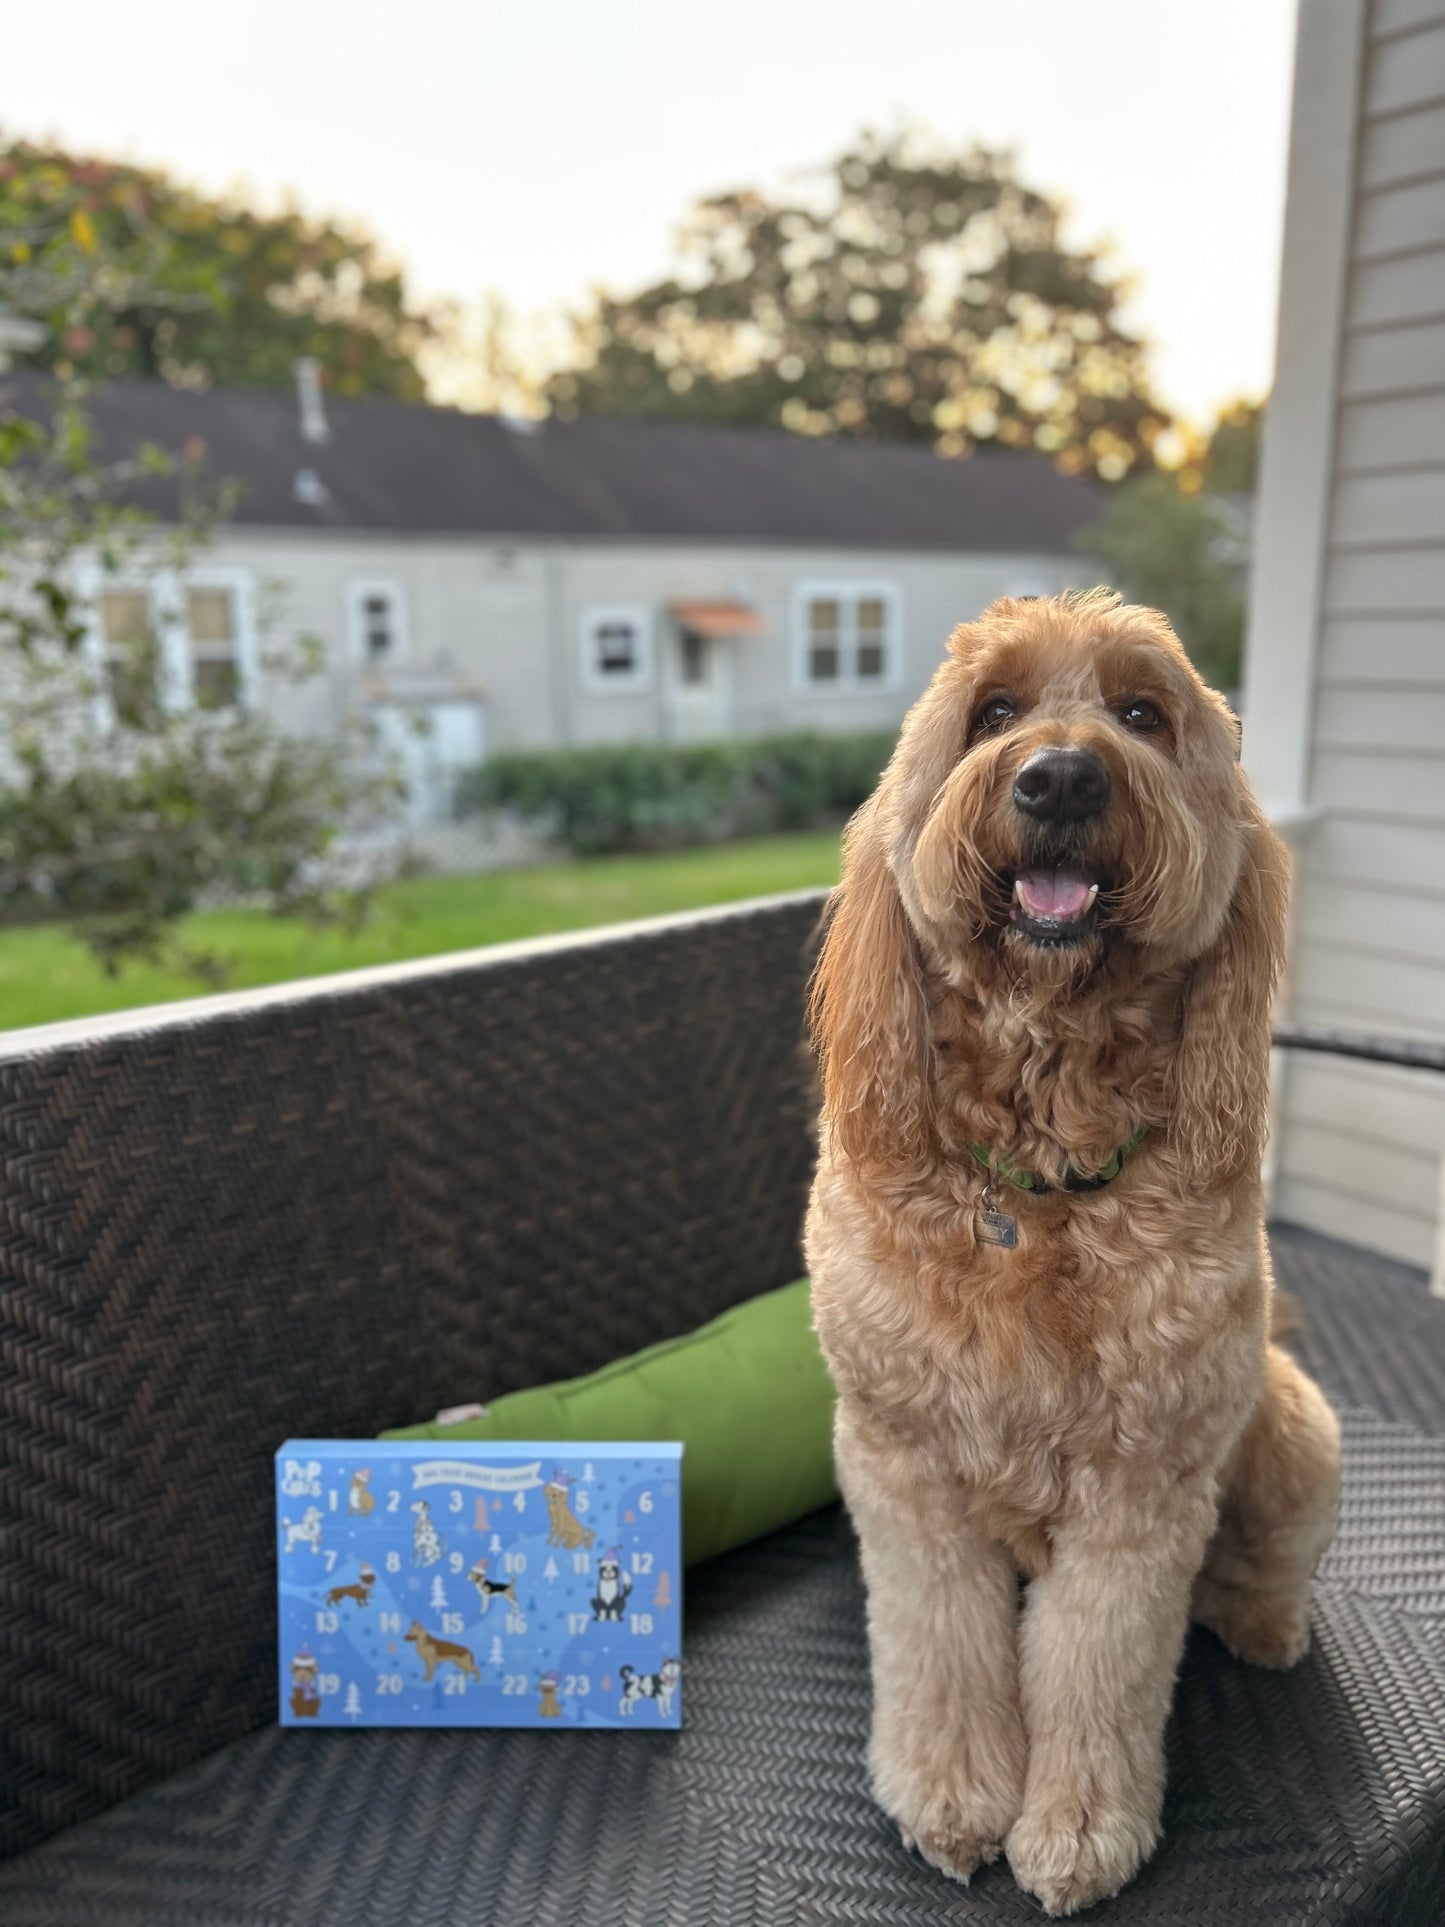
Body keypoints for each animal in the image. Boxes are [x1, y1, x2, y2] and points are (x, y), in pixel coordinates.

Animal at [809, 585, 1340, 1911]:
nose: (1055, 777)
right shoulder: (903, 1466)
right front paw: (951, 1795)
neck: (1040, 1177)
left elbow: (1099, 1666)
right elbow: (940, 1644)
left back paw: (1260, 1624)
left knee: (1263, 1561)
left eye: (1142, 714)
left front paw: (1077, 1830)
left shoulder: (1141, 1490)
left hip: (1294, 1430)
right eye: (992, 711)